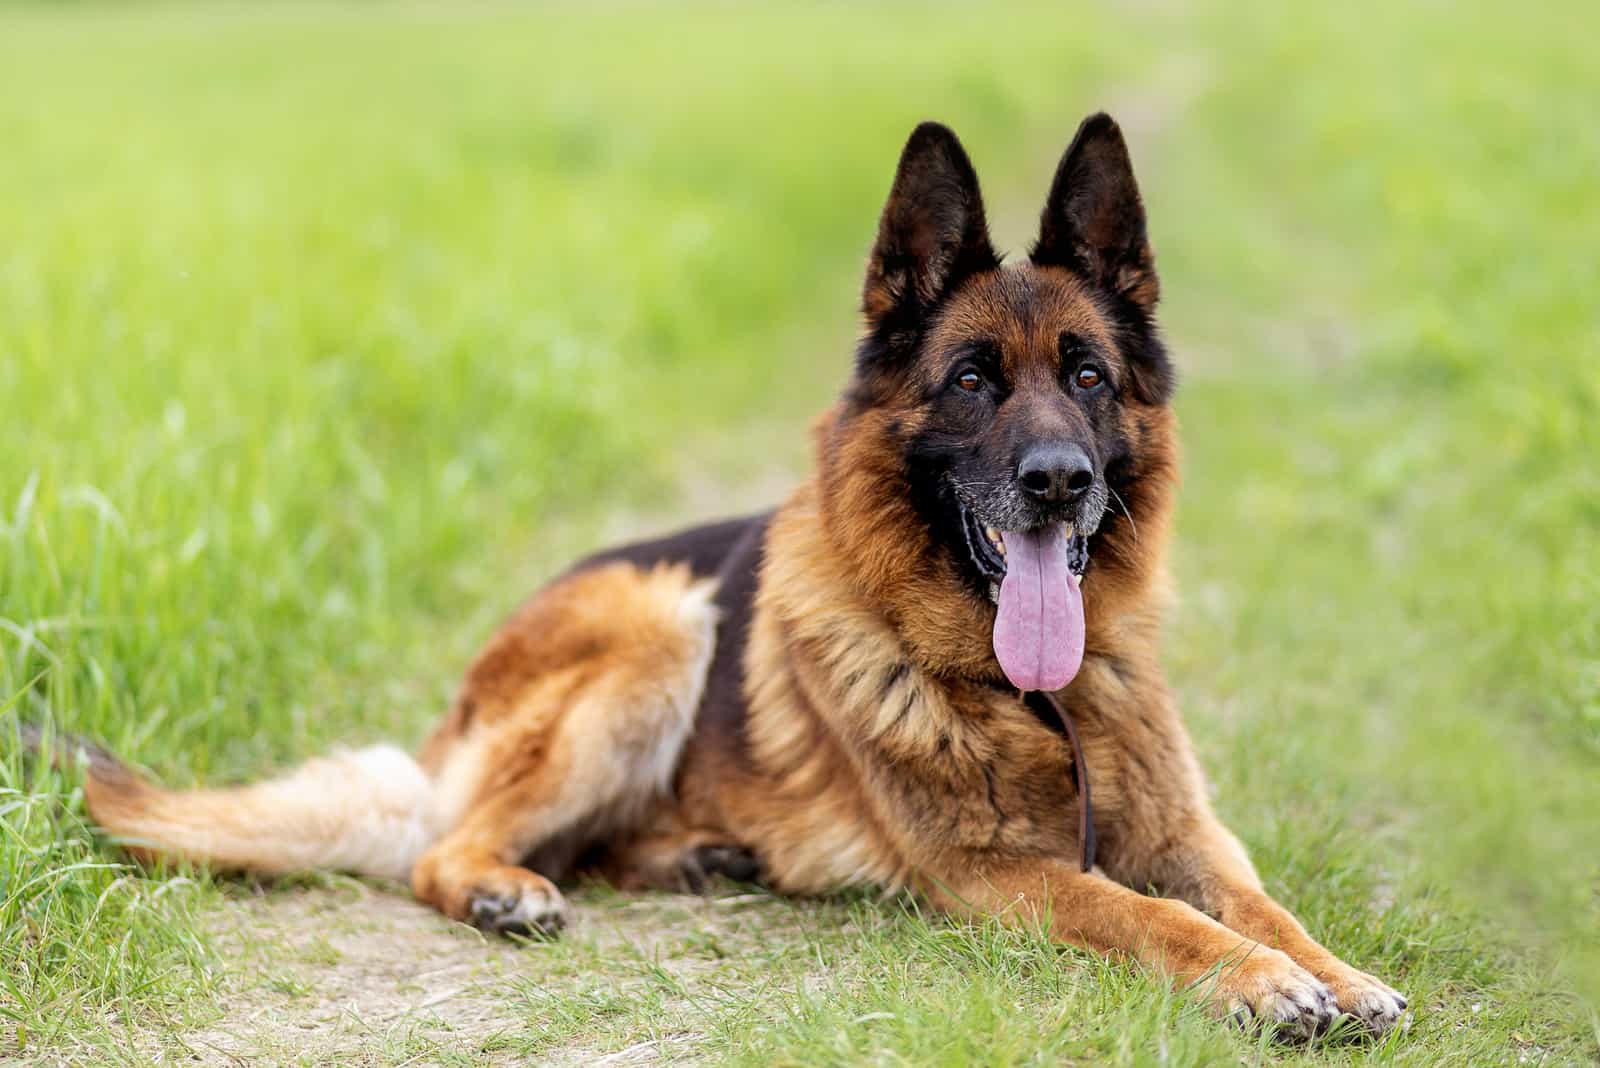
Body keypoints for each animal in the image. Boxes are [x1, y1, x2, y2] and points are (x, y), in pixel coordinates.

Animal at [53, 115, 1401, 1036]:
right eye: (972, 380)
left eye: (1086, 377)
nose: (1060, 481)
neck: (1039, 702)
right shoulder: (993, 873)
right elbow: (1146, 912)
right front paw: (1261, 984)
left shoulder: (1186, 831)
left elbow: (1257, 900)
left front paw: (1331, 970)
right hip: (659, 621)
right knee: (443, 849)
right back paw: (505, 888)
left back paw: (690, 855)